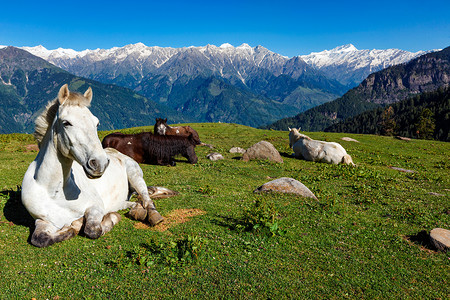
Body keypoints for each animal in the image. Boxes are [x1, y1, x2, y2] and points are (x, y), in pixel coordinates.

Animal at [20, 84, 172, 246]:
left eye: (97, 123)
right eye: (66, 123)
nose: (100, 163)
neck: (53, 192)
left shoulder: (95, 207)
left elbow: (92, 230)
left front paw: (106, 219)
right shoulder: (42, 221)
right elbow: (40, 239)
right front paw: (73, 226)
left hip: (136, 177)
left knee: (147, 200)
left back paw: (153, 216)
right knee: (133, 203)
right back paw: (135, 210)